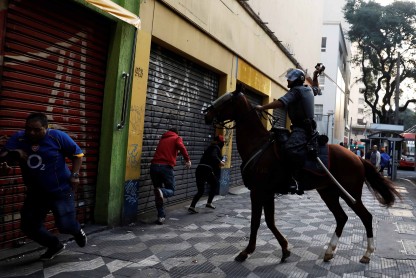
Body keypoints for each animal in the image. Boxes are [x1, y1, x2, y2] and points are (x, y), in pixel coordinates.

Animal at [203, 89, 402, 264]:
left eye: (226, 100)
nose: (206, 114)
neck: (258, 145)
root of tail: (358, 158)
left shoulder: (258, 192)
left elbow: (256, 222)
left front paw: (246, 252)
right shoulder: (267, 192)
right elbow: (270, 221)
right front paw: (285, 249)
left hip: (349, 194)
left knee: (366, 217)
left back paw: (367, 254)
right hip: (328, 192)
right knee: (341, 218)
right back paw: (330, 251)